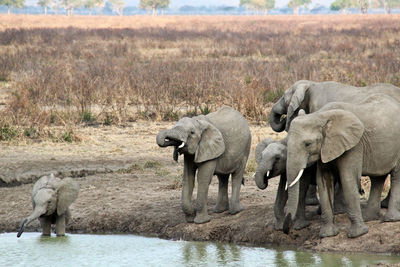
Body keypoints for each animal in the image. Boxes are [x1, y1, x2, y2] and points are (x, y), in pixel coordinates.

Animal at [282, 94, 400, 239]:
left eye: (307, 144)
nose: (287, 230)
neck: (320, 116)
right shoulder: (326, 147)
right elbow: (323, 180)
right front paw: (327, 234)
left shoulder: (354, 145)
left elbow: (348, 179)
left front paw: (356, 234)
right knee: (377, 178)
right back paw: (369, 218)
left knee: (396, 176)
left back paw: (390, 219)